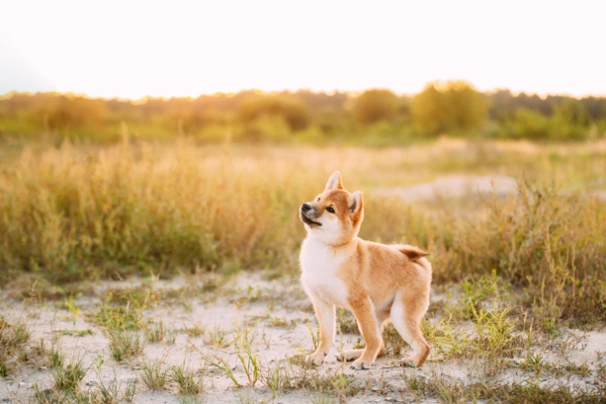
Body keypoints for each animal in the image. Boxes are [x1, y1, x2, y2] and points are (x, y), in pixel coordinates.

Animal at [300, 170, 432, 370]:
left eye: (330, 209)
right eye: (318, 198)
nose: (305, 205)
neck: (327, 248)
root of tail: (419, 264)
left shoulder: (359, 302)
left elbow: (371, 338)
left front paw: (365, 361)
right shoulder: (321, 302)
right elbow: (326, 336)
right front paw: (318, 356)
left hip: (397, 315)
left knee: (420, 346)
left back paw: (412, 361)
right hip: (376, 313)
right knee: (382, 346)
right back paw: (352, 354)